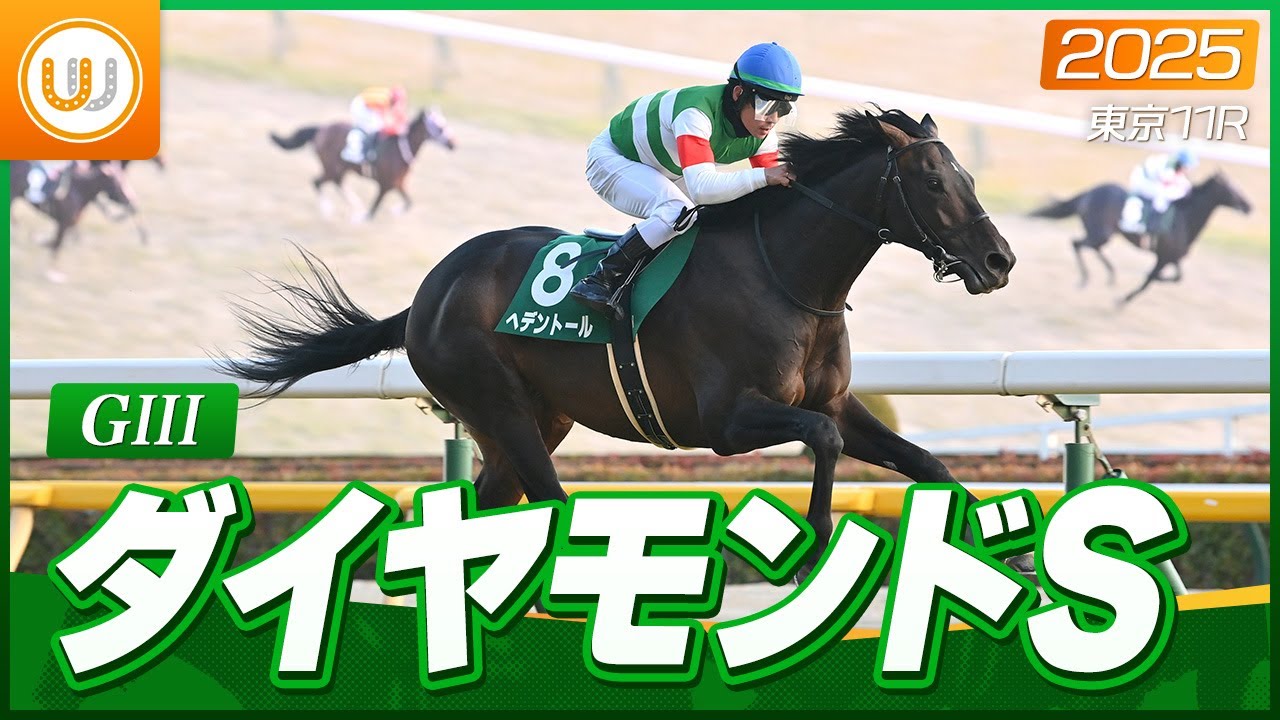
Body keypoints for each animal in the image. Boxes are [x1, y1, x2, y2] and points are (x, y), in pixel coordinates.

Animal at [269, 107, 456, 222]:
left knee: (336, 183)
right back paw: (328, 211)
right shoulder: (385, 185)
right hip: (331, 167)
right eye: (439, 126)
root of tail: (321, 129)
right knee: (317, 182)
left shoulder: (398, 184)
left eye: (445, 123)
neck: (399, 149)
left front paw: (393, 212)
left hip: (340, 169)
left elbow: (409, 202)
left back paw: (354, 205)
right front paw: (360, 220)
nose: (453, 144)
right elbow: (373, 210)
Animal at [1030, 171, 1251, 304]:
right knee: (1077, 244)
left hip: (1102, 234)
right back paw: (1086, 279)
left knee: (1088, 247)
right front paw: (1121, 301)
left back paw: (1110, 275)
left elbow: (1176, 277)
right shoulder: (1164, 257)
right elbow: (1150, 280)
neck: (1184, 218)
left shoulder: (1171, 257)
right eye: (1233, 189)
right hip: (1101, 233)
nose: (1249, 206)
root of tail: (1090, 192)